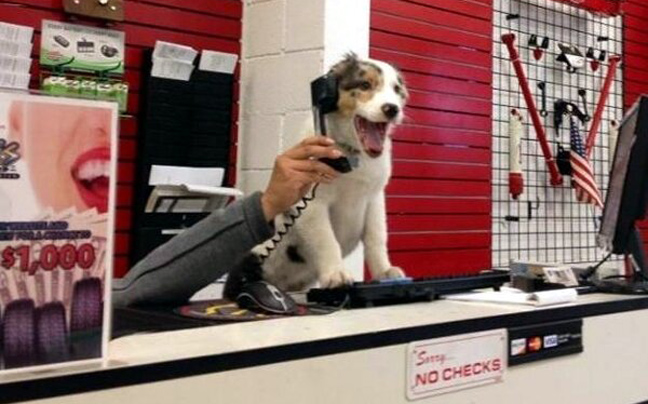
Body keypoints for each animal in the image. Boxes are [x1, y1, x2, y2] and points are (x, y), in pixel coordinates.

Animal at [225, 53, 408, 299]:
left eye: (396, 89)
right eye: (364, 85)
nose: (392, 109)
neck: (352, 153)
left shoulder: (375, 198)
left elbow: (376, 238)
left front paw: (384, 272)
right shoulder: (312, 204)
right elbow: (327, 241)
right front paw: (336, 274)